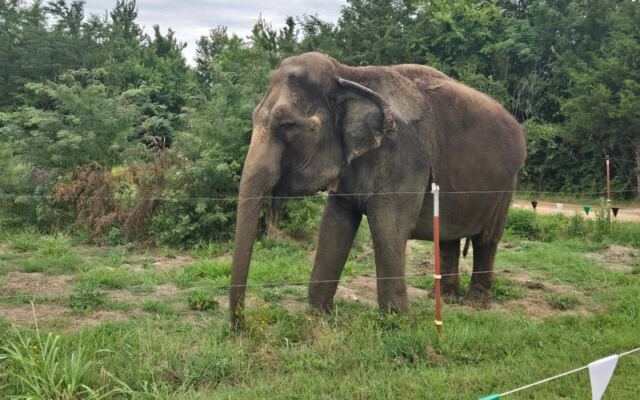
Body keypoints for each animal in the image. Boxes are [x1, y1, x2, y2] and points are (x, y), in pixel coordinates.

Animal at [229, 52, 526, 328]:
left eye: (287, 126)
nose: (241, 327)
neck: (349, 75)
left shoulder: (405, 155)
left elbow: (388, 229)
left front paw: (400, 324)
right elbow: (335, 224)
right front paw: (318, 315)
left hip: (506, 185)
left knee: (487, 239)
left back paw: (476, 304)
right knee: (448, 238)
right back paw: (445, 299)